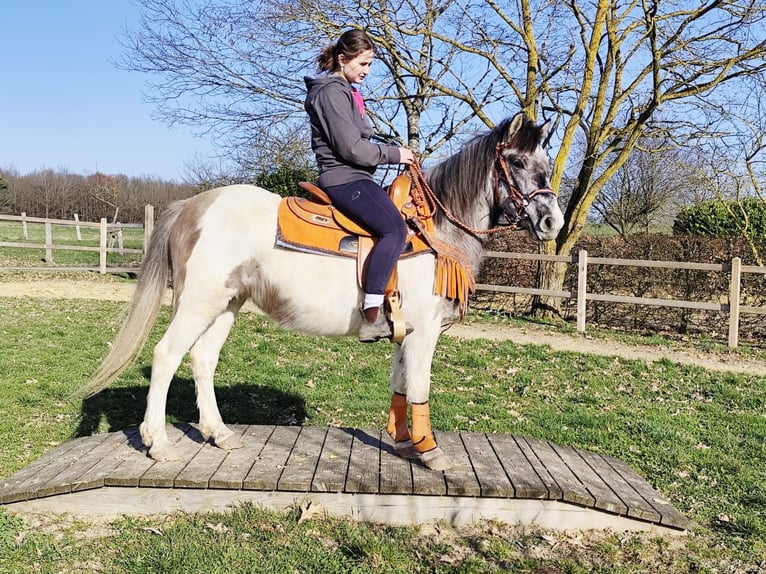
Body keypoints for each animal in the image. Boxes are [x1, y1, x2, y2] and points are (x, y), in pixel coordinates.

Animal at [84, 112, 564, 471]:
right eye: (516, 162)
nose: (552, 222)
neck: (435, 232)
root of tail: (192, 205)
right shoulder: (425, 331)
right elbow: (420, 387)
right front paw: (429, 451)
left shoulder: (404, 333)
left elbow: (400, 384)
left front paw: (402, 442)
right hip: (198, 304)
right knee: (167, 356)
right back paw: (158, 442)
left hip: (225, 305)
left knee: (203, 360)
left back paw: (218, 433)